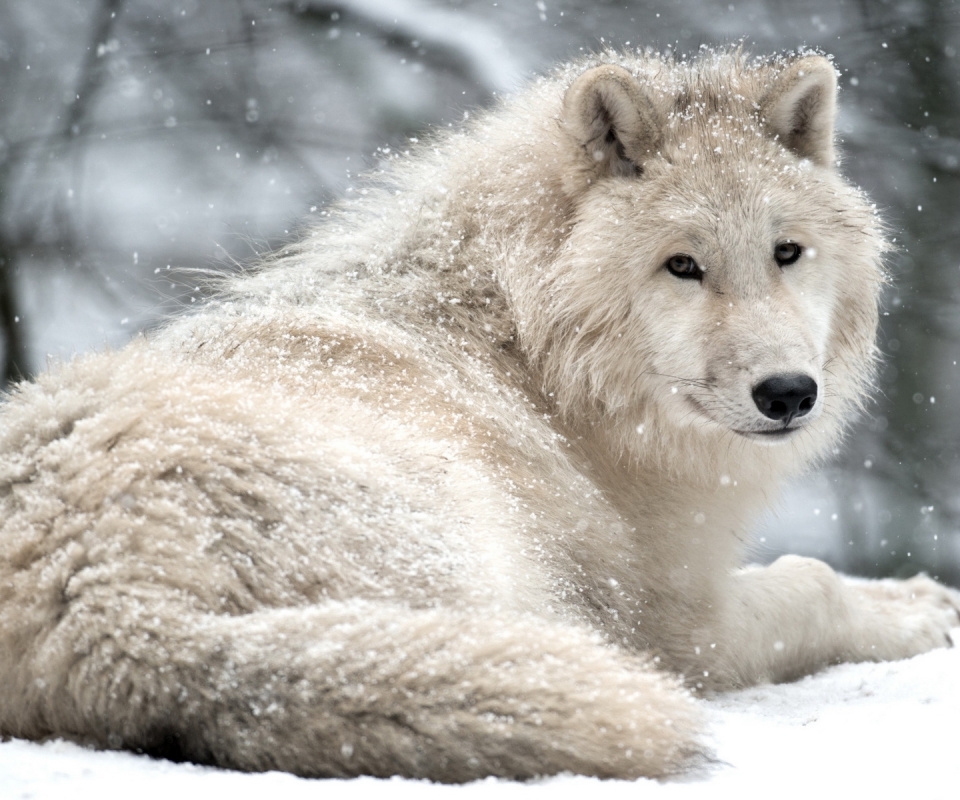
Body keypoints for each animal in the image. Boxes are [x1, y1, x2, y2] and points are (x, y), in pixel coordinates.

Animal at [1, 48, 960, 780]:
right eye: (682, 266)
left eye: (787, 252)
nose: (789, 393)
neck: (526, 345)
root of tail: (116, 614)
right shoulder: (674, 623)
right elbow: (814, 586)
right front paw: (921, 608)